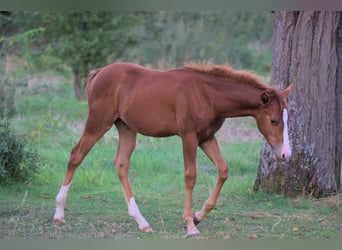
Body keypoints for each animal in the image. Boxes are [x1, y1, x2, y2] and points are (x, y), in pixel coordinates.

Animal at [53, 62, 292, 236]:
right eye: (273, 120)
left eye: (287, 118)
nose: (285, 154)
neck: (207, 94)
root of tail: (99, 72)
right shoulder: (189, 137)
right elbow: (190, 176)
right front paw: (191, 225)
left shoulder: (207, 137)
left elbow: (223, 170)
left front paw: (198, 216)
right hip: (98, 122)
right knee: (76, 155)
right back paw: (59, 213)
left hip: (127, 128)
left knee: (121, 165)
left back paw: (142, 222)